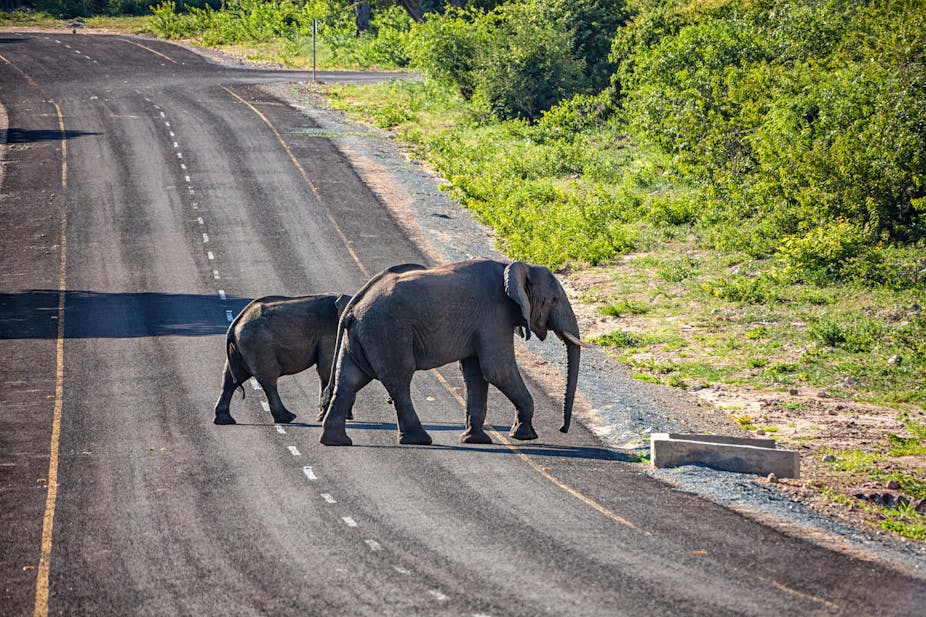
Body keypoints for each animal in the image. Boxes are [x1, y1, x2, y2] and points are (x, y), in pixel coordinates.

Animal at [213, 293, 350, 426]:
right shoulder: (330, 333)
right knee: (268, 380)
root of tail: (234, 325)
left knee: (231, 378)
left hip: (241, 348)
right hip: (259, 346)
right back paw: (287, 418)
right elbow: (327, 370)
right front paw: (325, 416)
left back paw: (224, 420)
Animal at [319, 258, 590, 446]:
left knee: (349, 380)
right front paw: (525, 436)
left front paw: (476, 440)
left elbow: (476, 374)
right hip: (388, 331)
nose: (562, 429)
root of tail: (353, 305)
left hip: (363, 336)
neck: (514, 265)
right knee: (399, 379)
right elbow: (497, 370)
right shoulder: (494, 316)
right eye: (554, 300)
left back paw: (336, 441)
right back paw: (419, 440)